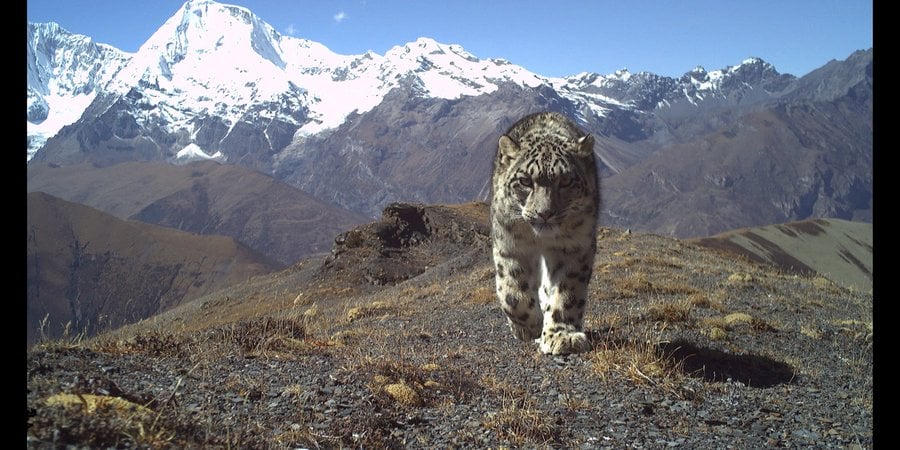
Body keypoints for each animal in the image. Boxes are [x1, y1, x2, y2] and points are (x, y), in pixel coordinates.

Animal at [490, 111, 600, 355]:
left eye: (566, 180)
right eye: (524, 181)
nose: (545, 213)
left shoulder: (574, 248)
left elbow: (567, 293)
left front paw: (562, 335)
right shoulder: (510, 246)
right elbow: (512, 293)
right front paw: (529, 327)